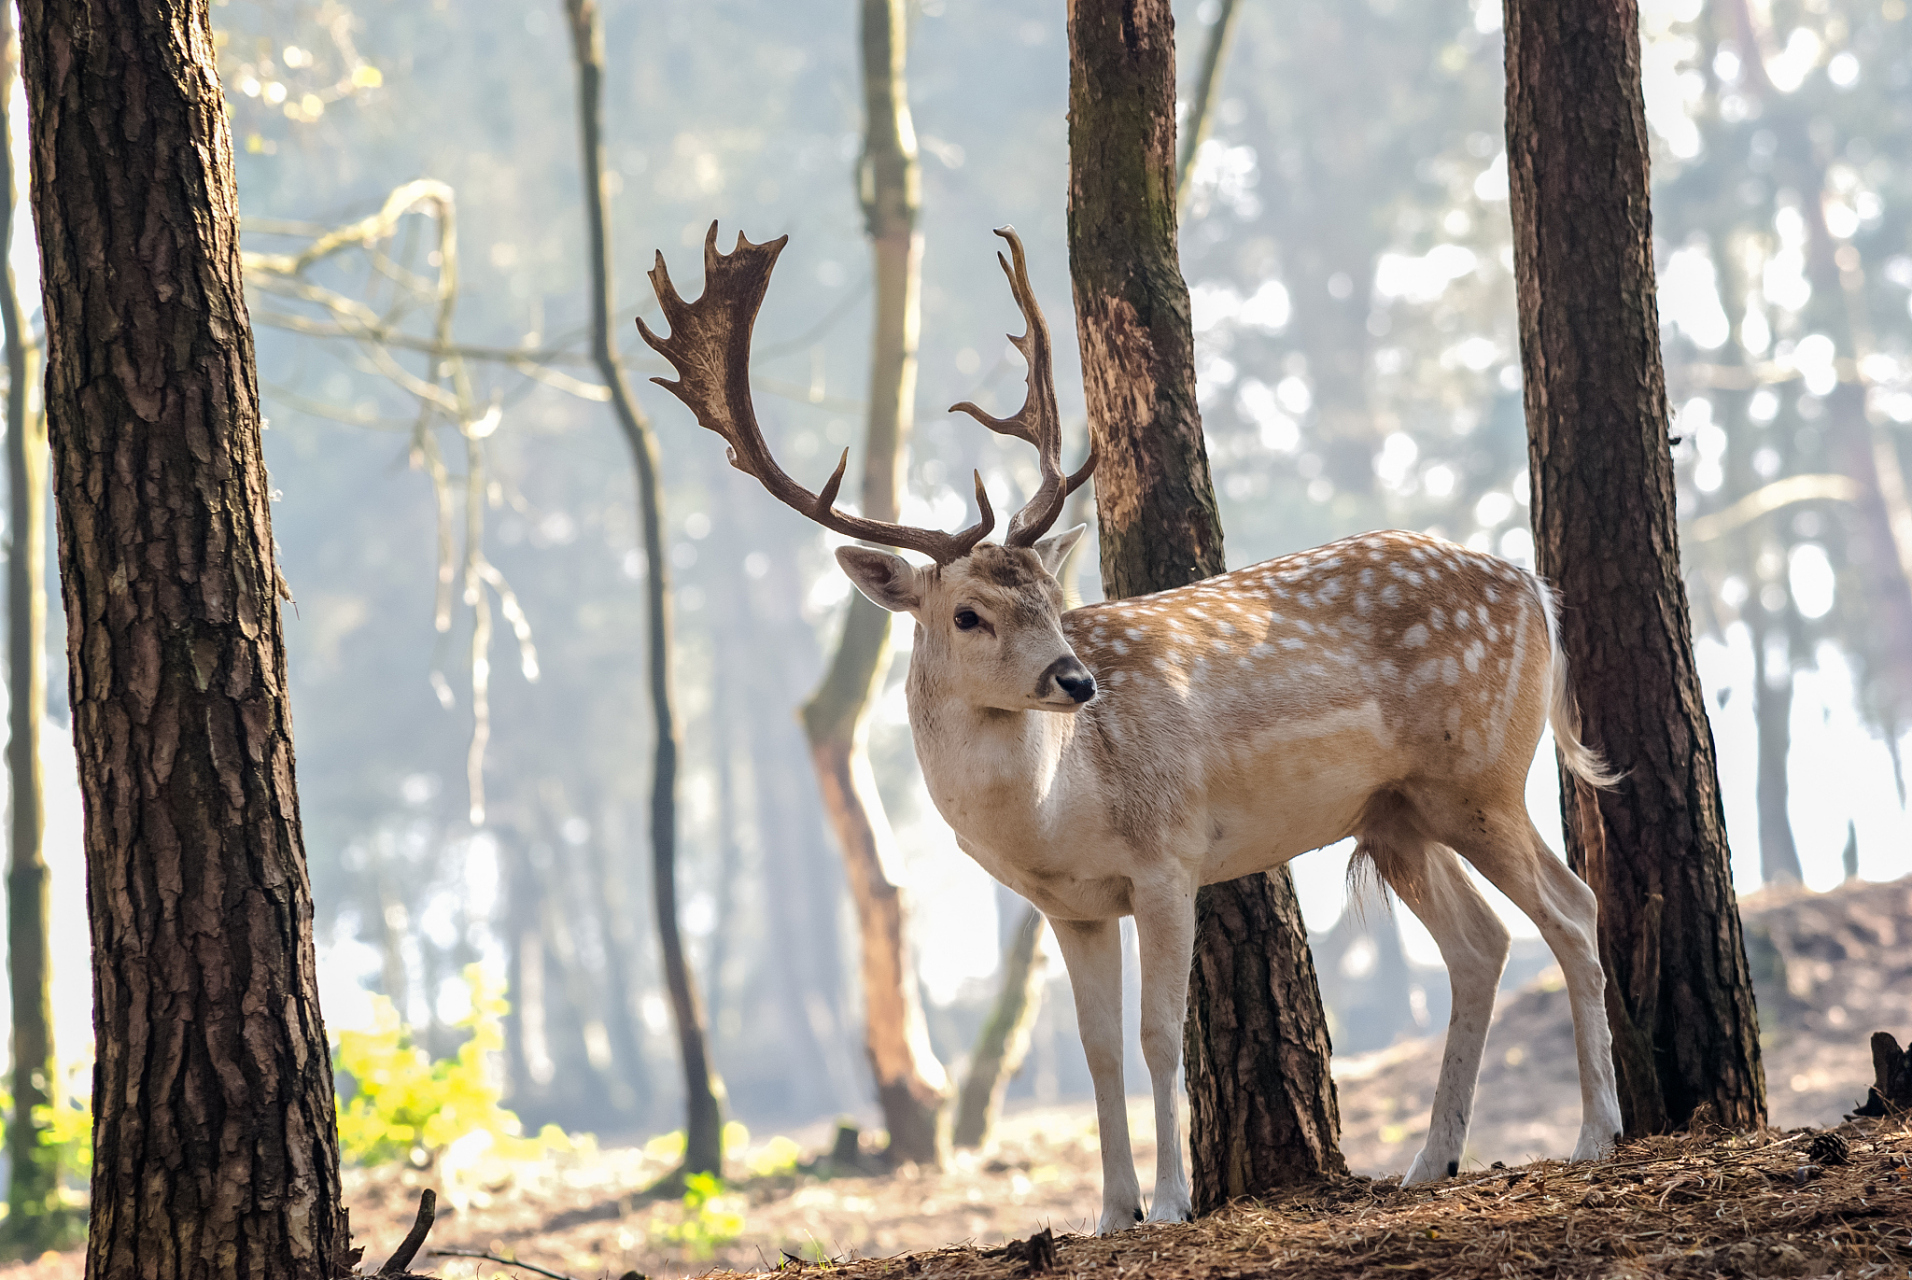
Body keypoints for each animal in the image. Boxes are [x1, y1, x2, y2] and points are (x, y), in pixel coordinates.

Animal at [634, 226, 1621, 1224]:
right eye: (968, 615)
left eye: (1052, 595)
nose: (1076, 680)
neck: (1053, 812)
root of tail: (1535, 587)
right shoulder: (1070, 905)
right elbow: (1097, 1046)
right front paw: (1113, 1211)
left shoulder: (1168, 855)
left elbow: (1158, 1034)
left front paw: (1174, 1201)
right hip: (1397, 812)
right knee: (1482, 944)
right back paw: (1431, 1161)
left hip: (1479, 773)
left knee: (1572, 908)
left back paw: (1594, 1134)